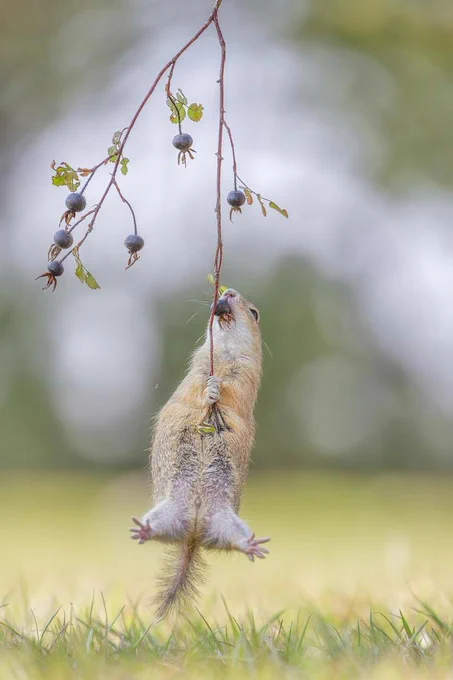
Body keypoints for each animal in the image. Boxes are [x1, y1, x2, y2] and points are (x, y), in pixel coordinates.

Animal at [130, 288, 270, 619]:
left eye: (254, 313)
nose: (228, 291)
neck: (224, 352)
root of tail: (193, 534)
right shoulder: (196, 368)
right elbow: (194, 388)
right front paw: (210, 390)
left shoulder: (246, 376)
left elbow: (233, 392)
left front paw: (217, 391)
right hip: (170, 511)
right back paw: (144, 530)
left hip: (226, 521)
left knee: (232, 541)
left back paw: (251, 545)